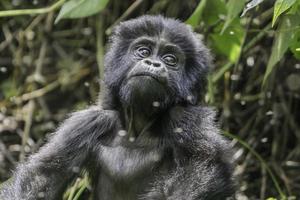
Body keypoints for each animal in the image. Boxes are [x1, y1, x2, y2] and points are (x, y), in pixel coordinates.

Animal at [0, 16, 234, 200]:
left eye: (170, 59)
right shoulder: (89, 122)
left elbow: (206, 166)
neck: (137, 125)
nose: (153, 63)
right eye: (143, 51)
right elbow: (43, 177)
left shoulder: (185, 117)